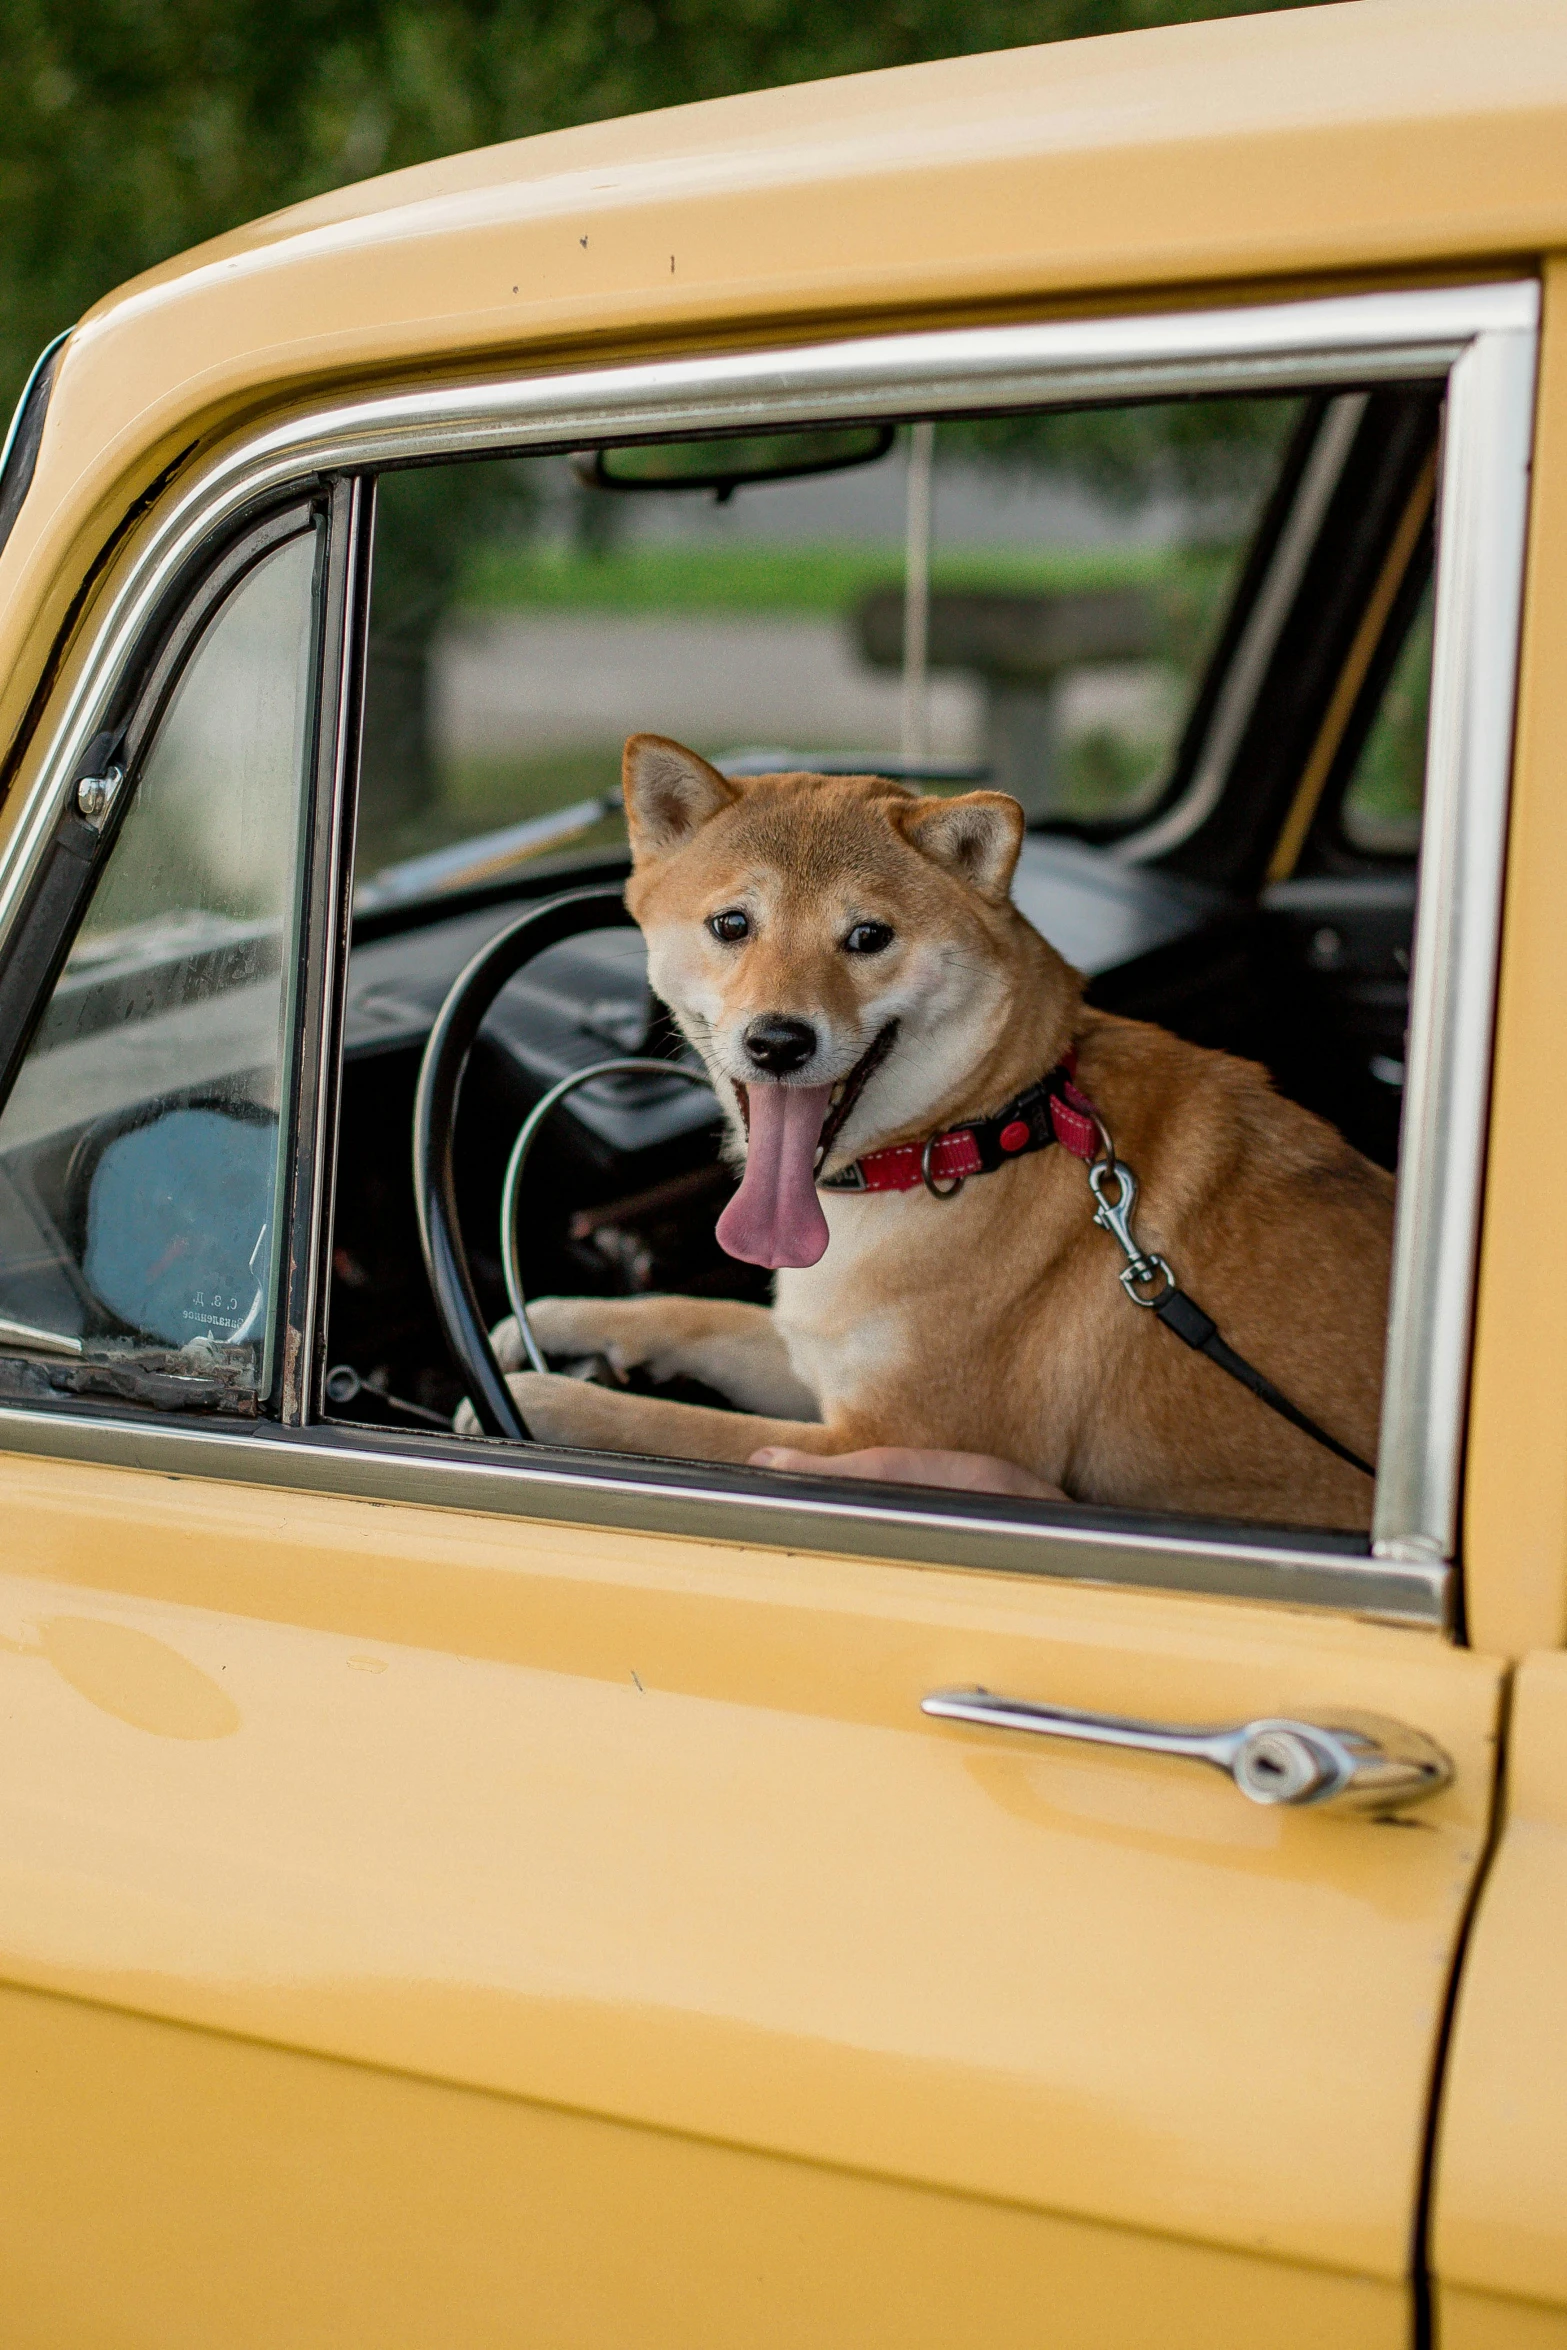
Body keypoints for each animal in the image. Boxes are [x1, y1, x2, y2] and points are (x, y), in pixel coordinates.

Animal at [486, 742, 1400, 1532]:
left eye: (868, 936)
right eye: (731, 925)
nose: (777, 1042)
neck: (978, 1134)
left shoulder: (878, 1440)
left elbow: (682, 1431)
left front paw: (547, 1403)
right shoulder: (816, 1354)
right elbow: (689, 1313)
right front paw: (558, 1317)